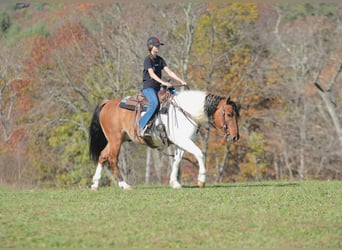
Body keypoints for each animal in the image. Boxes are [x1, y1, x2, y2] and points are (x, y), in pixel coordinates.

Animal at [88, 90, 239, 189]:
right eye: (229, 114)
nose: (235, 136)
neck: (186, 111)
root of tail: (107, 103)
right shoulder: (184, 141)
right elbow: (199, 153)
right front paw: (201, 180)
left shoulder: (181, 142)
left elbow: (177, 160)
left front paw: (174, 183)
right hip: (116, 140)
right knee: (112, 159)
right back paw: (124, 184)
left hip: (116, 140)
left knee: (102, 155)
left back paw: (95, 183)